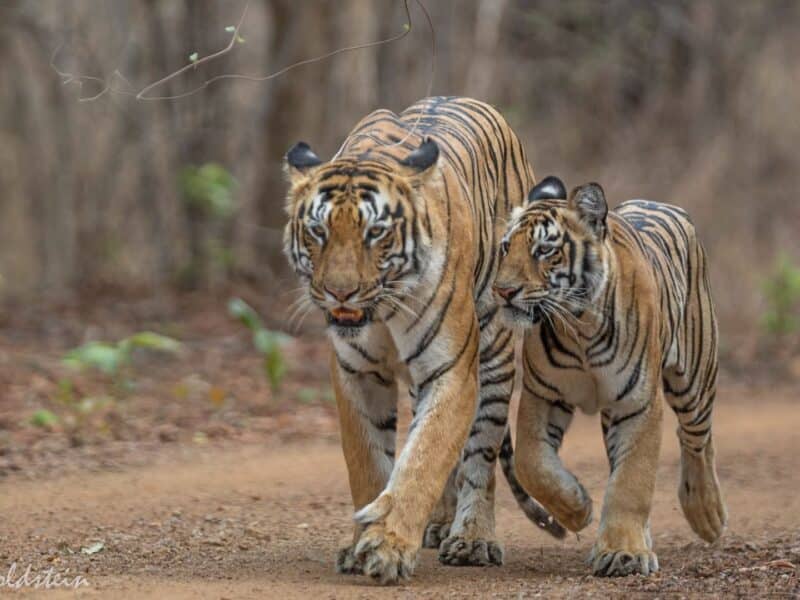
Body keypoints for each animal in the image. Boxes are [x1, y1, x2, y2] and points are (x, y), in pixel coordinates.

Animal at [282, 97, 564, 584]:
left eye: (375, 232)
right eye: (318, 231)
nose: (340, 292)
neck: (382, 311)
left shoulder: (451, 370)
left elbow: (424, 459)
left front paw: (389, 547)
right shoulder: (356, 373)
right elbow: (370, 461)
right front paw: (362, 543)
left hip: (494, 352)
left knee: (480, 455)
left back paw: (472, 539)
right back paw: (439, 524)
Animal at [492, 176, 728, 577]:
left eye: (544, 250)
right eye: (507, 247)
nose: (503, 291)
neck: (580, 326)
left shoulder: (637, 403)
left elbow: (631, 480)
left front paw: (624, 553)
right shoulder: (543, 395)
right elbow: (532, 463)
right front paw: (577, 507)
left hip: (695, 377)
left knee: (696, 438)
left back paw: (706, 513)